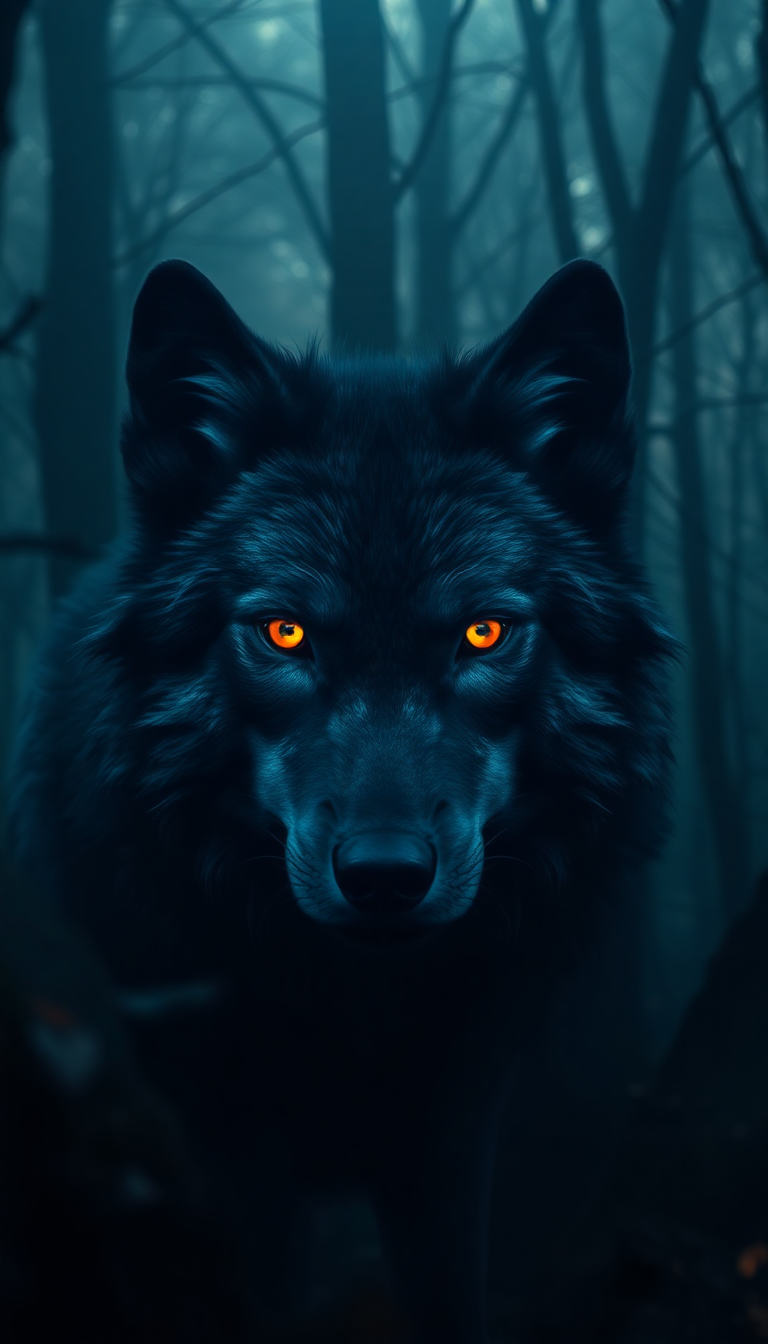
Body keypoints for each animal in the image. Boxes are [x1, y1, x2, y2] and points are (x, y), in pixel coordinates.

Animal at [8, 258, 673, 1342]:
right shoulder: (229, 1148)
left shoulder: (450, 1128)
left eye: (484, 634)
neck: (350, 1008)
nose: (385, 877)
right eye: (285, 634)